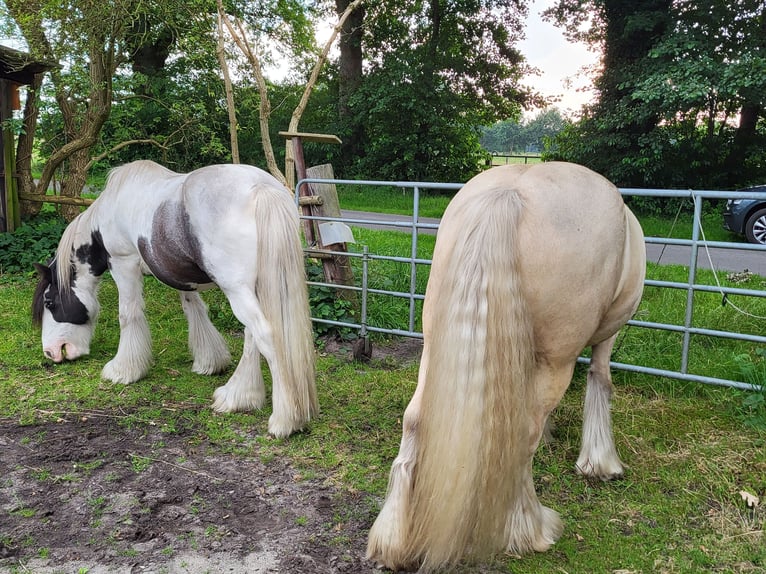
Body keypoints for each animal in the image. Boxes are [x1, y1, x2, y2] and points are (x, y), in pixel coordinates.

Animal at [33, 160, 318, 438]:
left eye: (49, 303)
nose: (51, 352)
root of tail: (260, 188)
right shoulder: (178, 274)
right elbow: (194, 310)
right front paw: (209, 361)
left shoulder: (124, 265)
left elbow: (128, 314)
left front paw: (123, 370)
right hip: (252, 289)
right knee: (252, 335)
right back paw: (238, 397)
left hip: (237, 289)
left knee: (266, 336)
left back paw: (285, 420)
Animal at [368, 161, 644, 572]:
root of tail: (508, 192)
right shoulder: (606, 336)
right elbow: (601, 380)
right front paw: (600, 463)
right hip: (557, 358)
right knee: (525, 433)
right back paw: (529, 531)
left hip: (434, 343)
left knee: (414, 420)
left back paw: (392, 539)